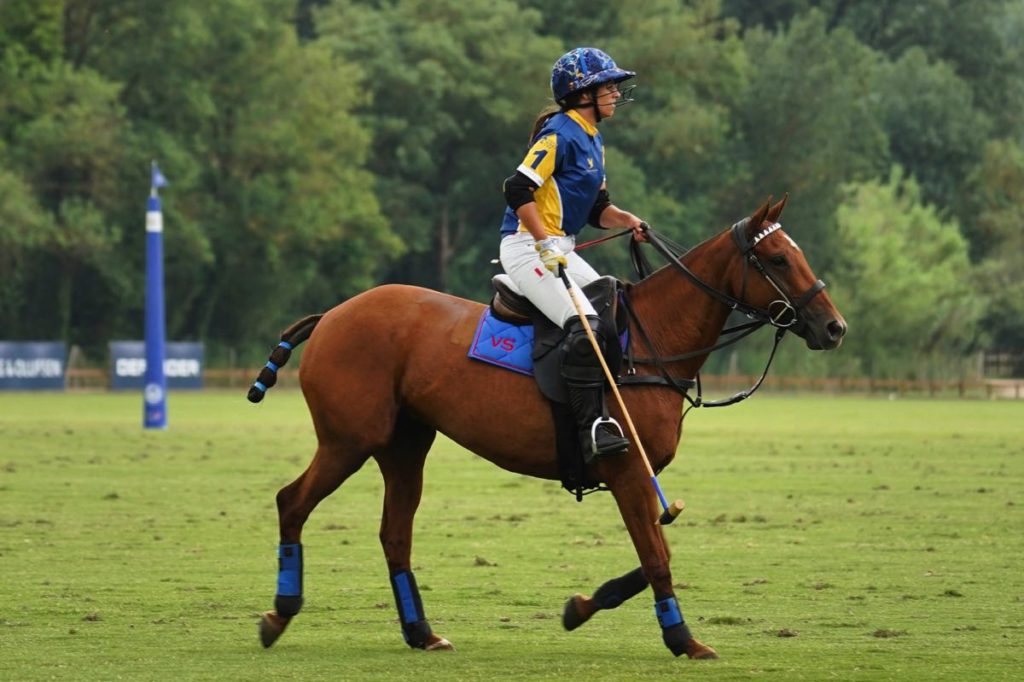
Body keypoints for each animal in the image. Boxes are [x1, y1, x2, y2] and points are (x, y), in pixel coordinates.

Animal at [250, 195, 847, 659]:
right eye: (777, 258)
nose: (834, 328)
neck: (653, 340)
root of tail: (330, 315)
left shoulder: (636, 475)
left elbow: (655, 551)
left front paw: (580, 607)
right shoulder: (627, 468)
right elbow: (657, 557)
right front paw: (684, 640)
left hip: (404, 446)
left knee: (394, 533)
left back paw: (422, 633)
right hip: (349, 440)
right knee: (291, 501)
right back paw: (279, 614)